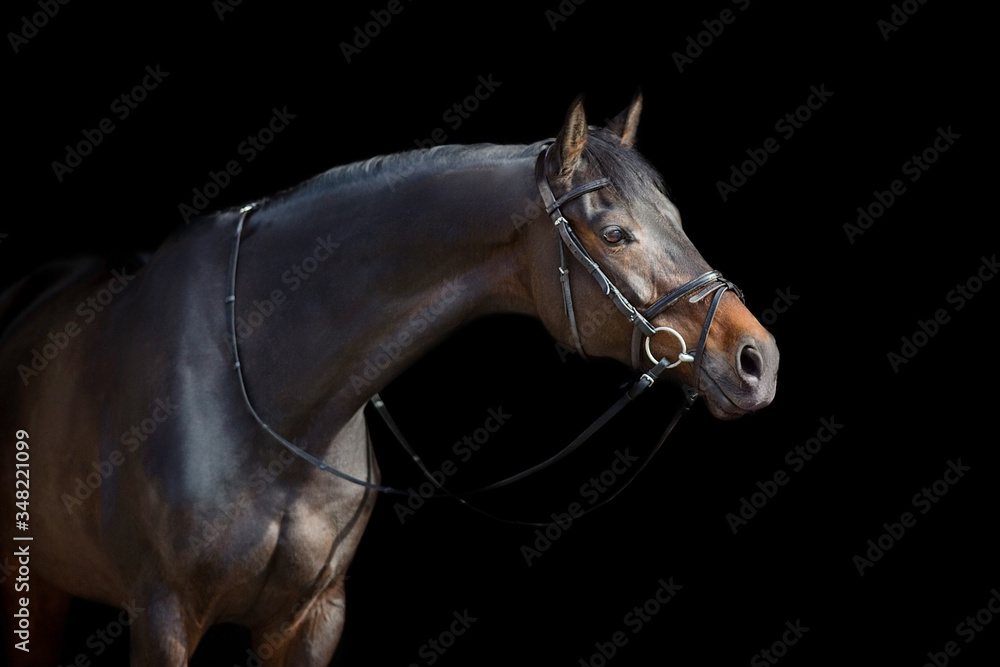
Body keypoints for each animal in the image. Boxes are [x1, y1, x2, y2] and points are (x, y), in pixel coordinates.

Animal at [0, 95, 776, 667]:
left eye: (676, 219)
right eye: (614, 233)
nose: (758, 360)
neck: (264, 398)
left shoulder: (311, 619)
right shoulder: (162, 616)